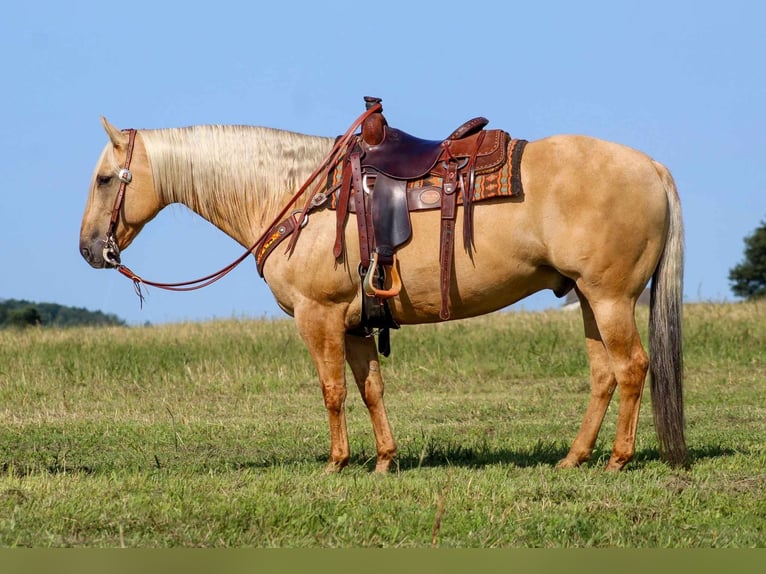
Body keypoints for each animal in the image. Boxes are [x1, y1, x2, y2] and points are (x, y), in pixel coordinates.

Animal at [79, 110, 688, 474]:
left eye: (106, 179)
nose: (89, 249)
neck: (296, 194)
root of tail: (653, 167)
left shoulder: (319, 316)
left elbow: (331, 391)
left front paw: (335, 463)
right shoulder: (354, 323)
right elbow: (370, 388)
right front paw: (383, 461)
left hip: (609, 298)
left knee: (632, 367)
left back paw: (616, 460)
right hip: (587, 298)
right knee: (604, 374)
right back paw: (573, 459)